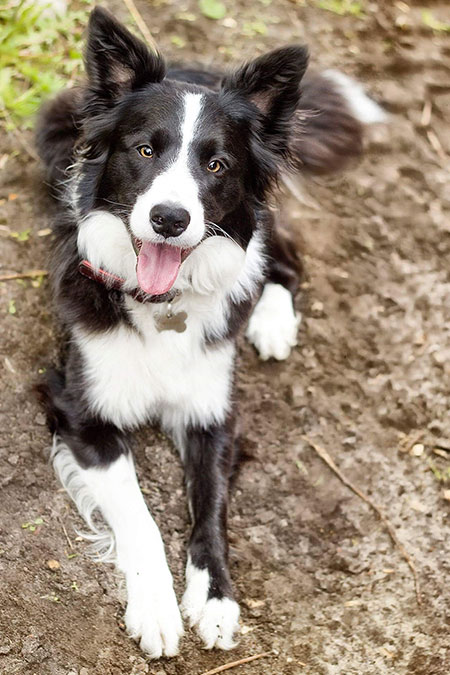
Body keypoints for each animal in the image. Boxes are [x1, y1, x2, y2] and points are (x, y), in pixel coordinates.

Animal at [35, 5, 384, 660]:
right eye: (145, 149)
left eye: (216, 164)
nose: (170, 219)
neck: (161, 303)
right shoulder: (81, 410)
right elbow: (141, 517)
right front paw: (157, 608)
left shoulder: (213, 412)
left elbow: (213, 508)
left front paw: (216, 599)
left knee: (283, 258)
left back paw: (271, 320)